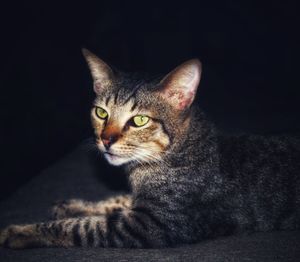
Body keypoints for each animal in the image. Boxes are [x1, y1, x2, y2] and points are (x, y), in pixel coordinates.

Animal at [0, 48, 300, 249]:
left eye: (139, 120)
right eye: (100, 113)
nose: (105, 140)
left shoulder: (151, 225)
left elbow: (82, 227)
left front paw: (20, 232)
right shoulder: (138, 206)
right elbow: (114, 202)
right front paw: (73, 206)